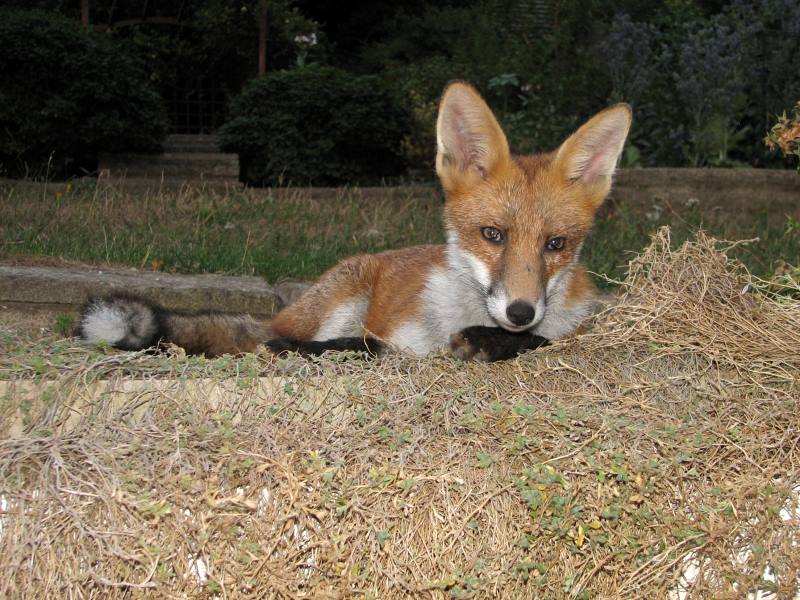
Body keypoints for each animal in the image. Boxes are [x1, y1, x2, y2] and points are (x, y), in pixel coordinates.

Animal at [78, 82, 631, 362]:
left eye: (555, 244)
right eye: (492, 235)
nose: (520, 311)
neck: (460, 320)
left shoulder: (569, 329)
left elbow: (542, 341)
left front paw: (500, 342)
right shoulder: (401, 341)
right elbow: (373, 348)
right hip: (339, 298)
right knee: (283, 338)